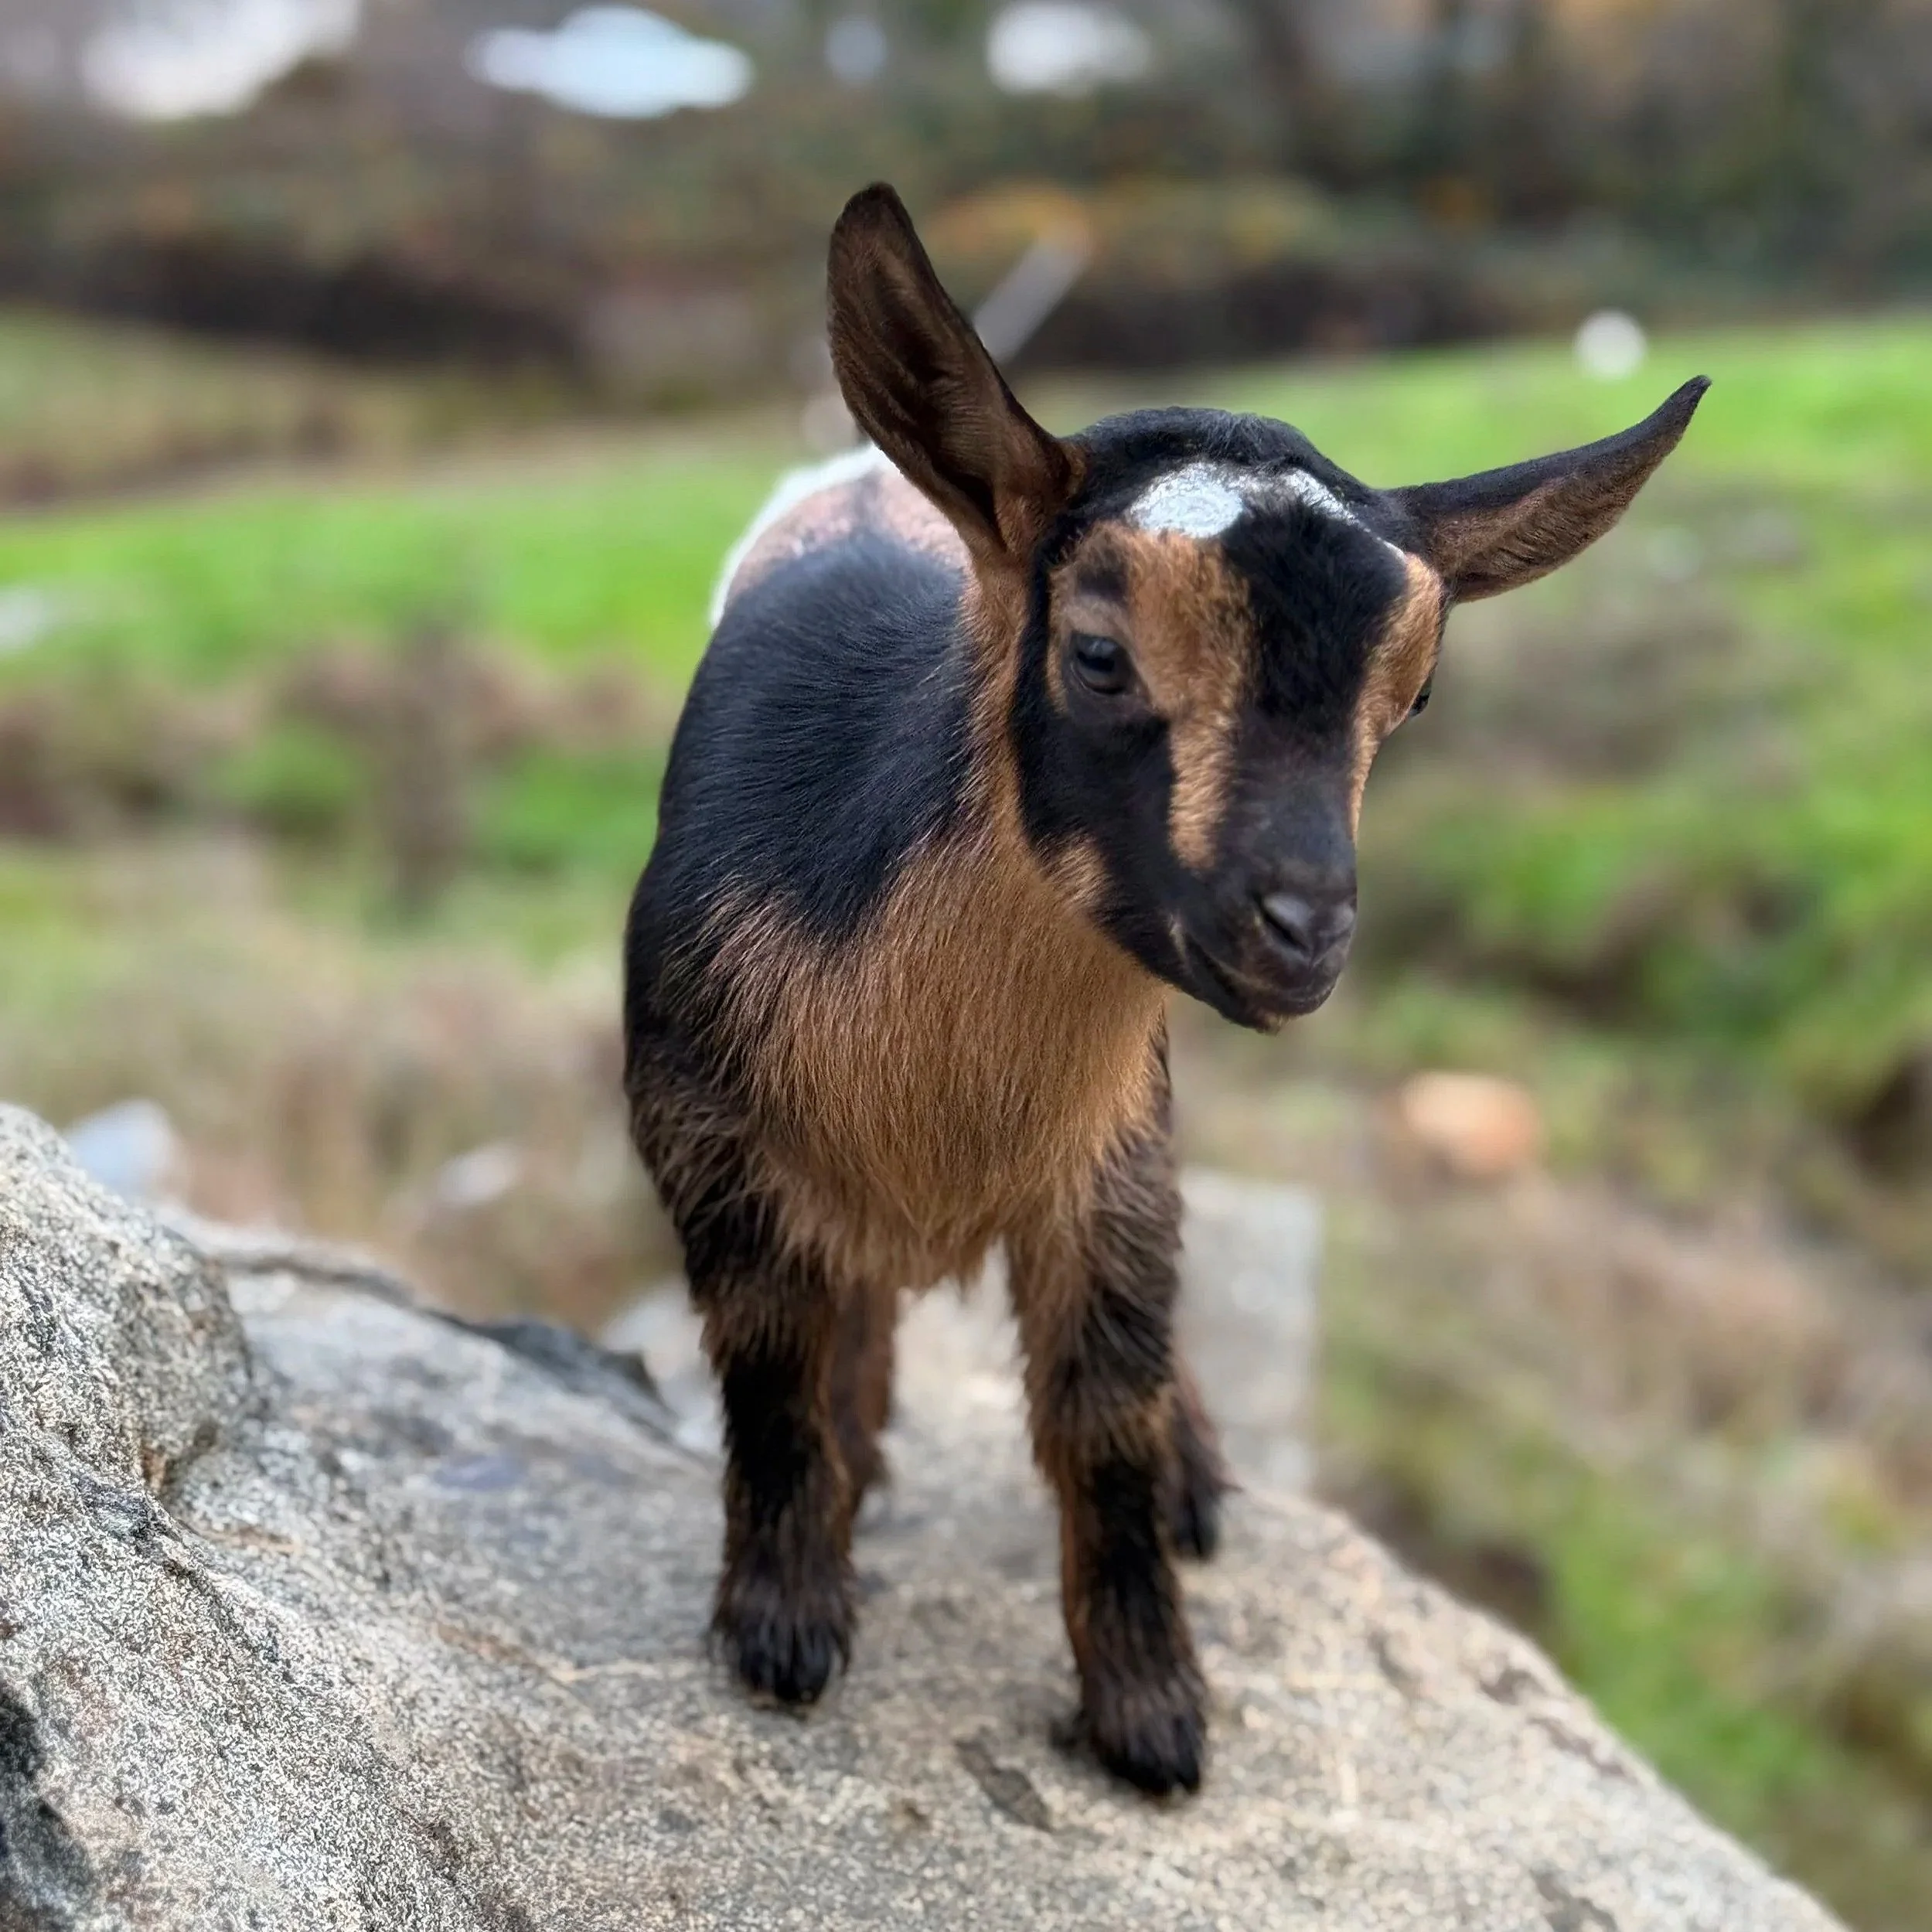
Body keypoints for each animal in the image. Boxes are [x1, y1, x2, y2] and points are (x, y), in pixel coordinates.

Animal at [624, 183, 1707, 1796]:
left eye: (1414, 696)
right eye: (1095, 652)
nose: (1305, 927)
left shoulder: (1112, 1153)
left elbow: (1103, 1408)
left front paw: (1147, 1709)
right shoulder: (703, 1135)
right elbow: (766, 1366)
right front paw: (786, 1620)